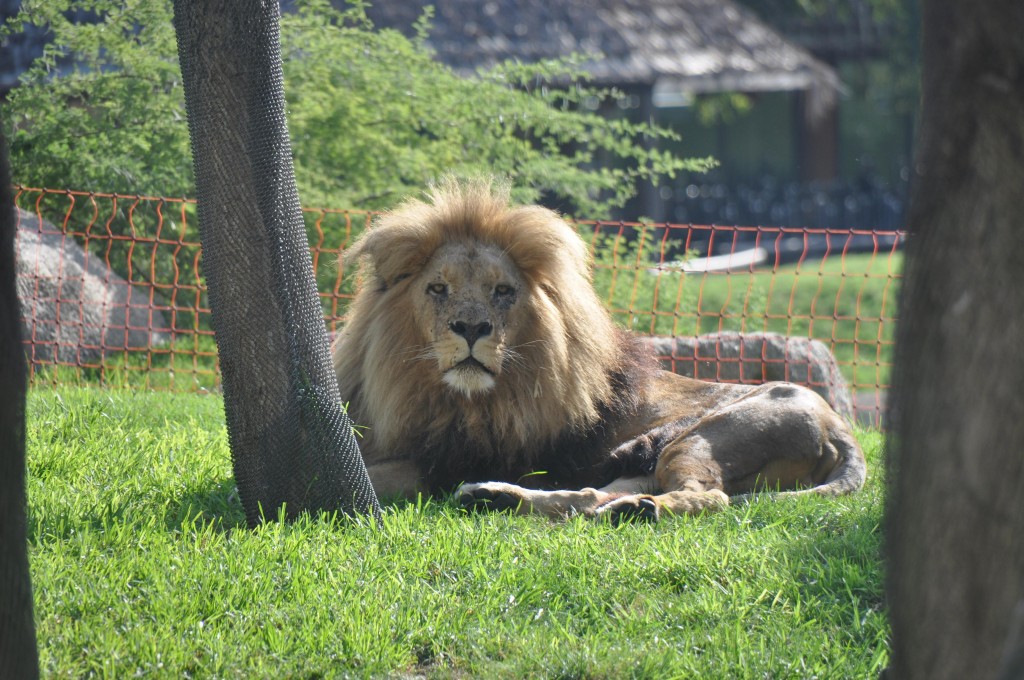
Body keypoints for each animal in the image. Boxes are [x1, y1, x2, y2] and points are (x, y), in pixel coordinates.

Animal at [329, 178, 864, 522]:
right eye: (438, 289)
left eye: (503, 291)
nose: (471, 328)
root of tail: (841, 430)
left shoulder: (448, 459)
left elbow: (374, 477)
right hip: (648, 460)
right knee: (590, 495)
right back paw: (498, 497)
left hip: (700, 438)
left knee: (708, 499)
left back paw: (637, 511)